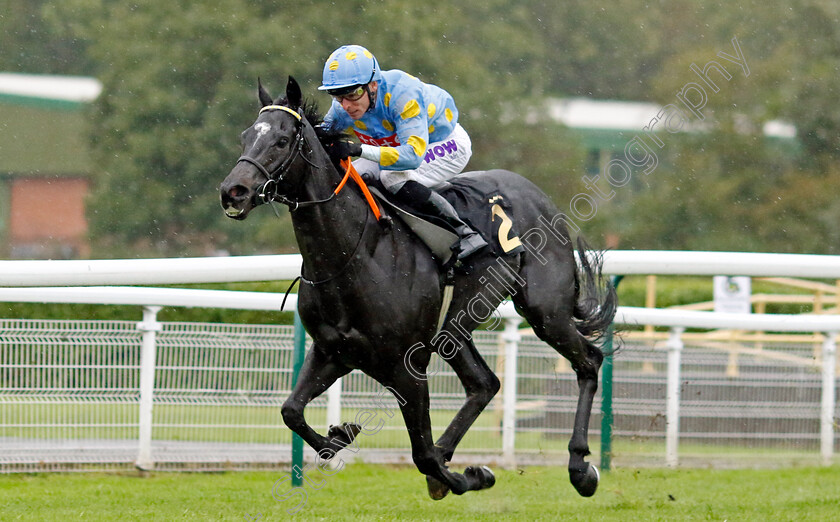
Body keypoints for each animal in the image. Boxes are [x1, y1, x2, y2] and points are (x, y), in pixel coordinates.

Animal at [220, 76, 616, 496]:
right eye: (245, 137)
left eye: (281, 140)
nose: (233, 192)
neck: (354, 253)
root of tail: (540, 197)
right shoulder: (334, 350)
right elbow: (291, 411)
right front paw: (340, 435)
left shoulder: (406, 367)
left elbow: (422, 454)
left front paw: (471, 476)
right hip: (453, 327)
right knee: (484, 384)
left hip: (546, 311)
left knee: (588, 361)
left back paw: (580, 466)